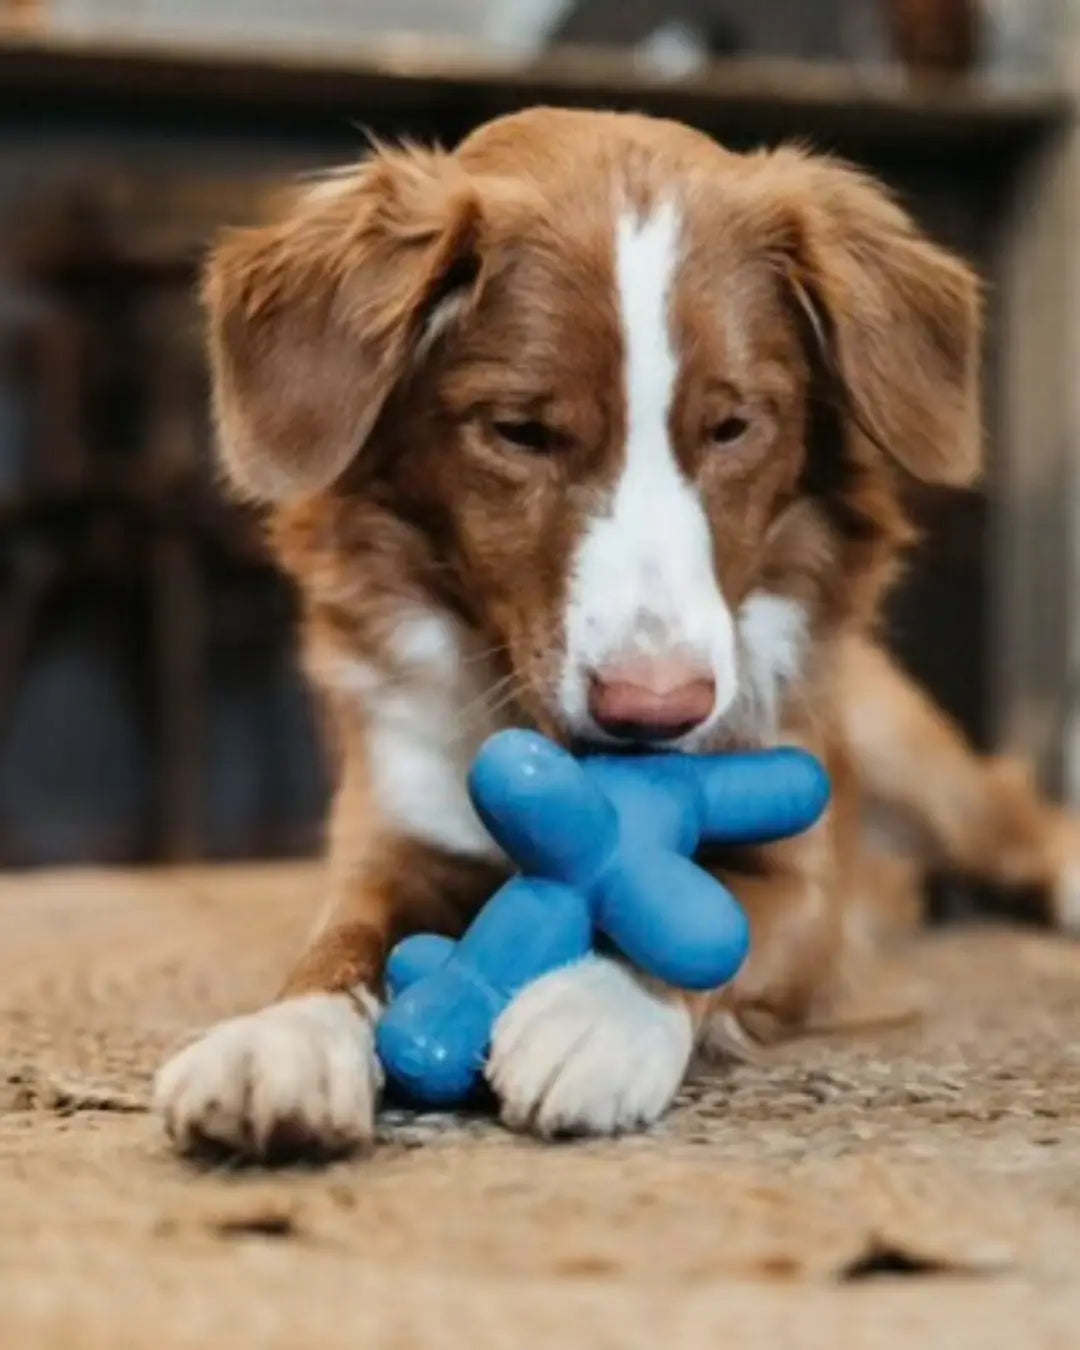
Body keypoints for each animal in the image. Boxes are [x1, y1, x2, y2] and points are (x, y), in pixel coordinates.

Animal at [151, 108, 1080, 1161]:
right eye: (520, 430)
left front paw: (599, 1008)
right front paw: (285, 1040)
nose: (656, 711)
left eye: (732, 427)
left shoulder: (810, 883)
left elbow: (721, 917)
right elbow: (341, 942)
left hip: (910, 755)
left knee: (1015, 819)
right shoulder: (393, 834)